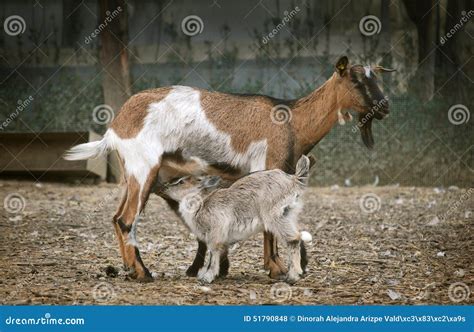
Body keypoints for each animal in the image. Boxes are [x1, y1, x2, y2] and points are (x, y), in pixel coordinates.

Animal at [65, 55, 394, 282]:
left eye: (376, 79)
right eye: (355, 81)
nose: (385, 106)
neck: (292, 122)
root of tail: (116, 126)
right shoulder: (267, 167)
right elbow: (267, 225)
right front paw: (275, 268)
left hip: (134, 174)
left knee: (117, 216)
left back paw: (130, 269)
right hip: (143, 167)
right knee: (126, 220)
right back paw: (144, 273)